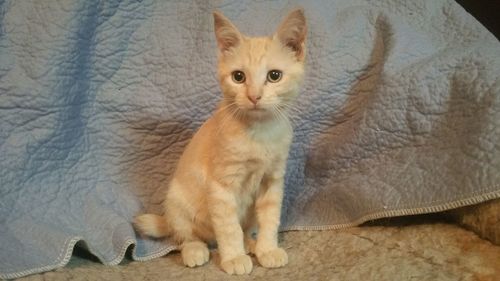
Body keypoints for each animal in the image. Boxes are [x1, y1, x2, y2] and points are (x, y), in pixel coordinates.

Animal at [137, 8, 306, 274]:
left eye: (274, 76)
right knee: (185, 236)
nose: (254, 96)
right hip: (177, 202)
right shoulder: (221, 187)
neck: (259, 133)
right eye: (238, 76)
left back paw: (251, 244)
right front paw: (234, 258)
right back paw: (196, 250)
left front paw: (267, 250)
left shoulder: (272, 181)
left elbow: (270, 219)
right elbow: (228, 227)